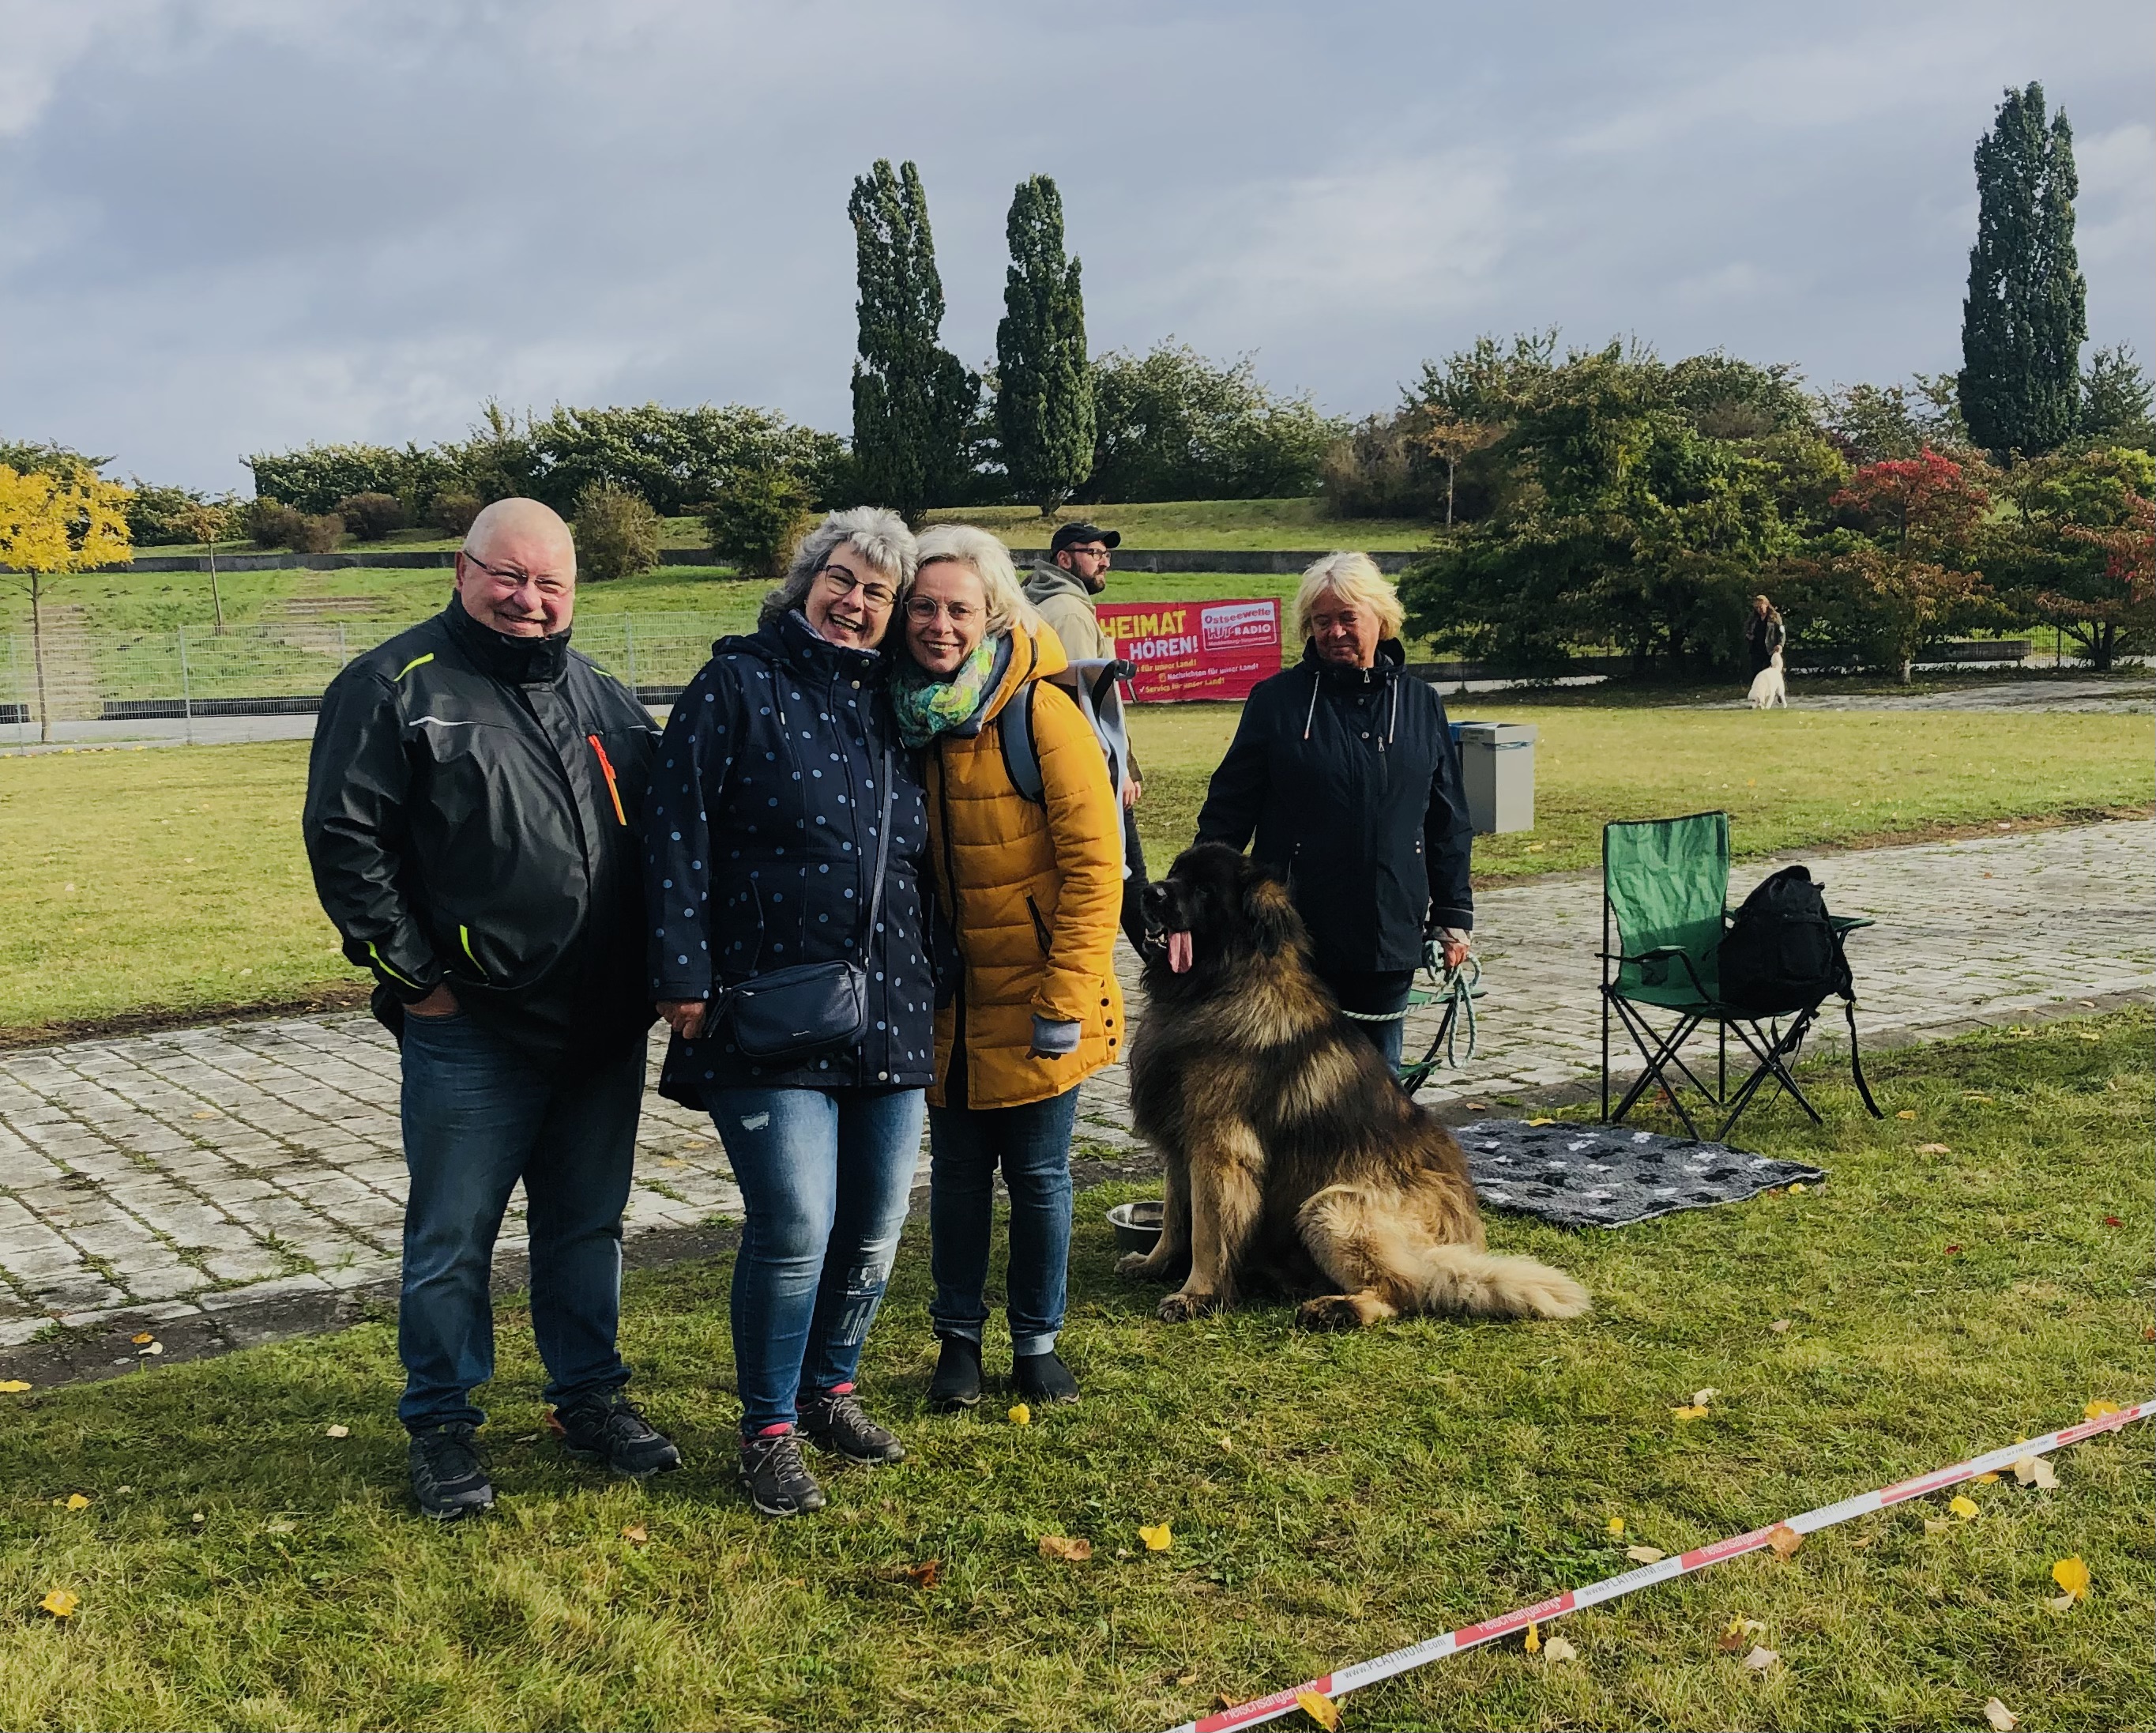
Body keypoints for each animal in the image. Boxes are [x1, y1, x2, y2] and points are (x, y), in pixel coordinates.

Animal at [1120, 843, 1589, 1329]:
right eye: (1176, 873)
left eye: (1205, 890)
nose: (1150, 894)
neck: (1216, 986)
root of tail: (1461, 1243)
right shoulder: (1180, 1143)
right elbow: (1176, 1217)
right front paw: (1155, 1263)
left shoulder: (1220, 1149)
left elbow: (1208, 1233)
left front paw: (1197, 1294)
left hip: (1329, 1206)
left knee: (1404, 1290)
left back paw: (1337, 1307)